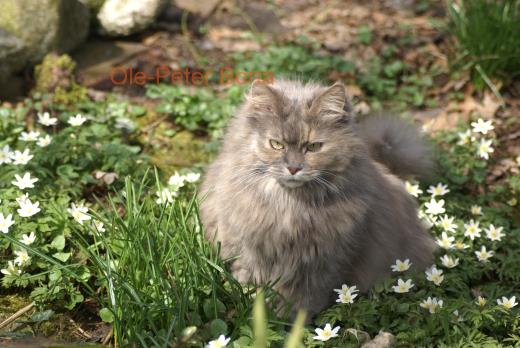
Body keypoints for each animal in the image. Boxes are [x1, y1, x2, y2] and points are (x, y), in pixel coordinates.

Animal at [201, 79, 436, 318]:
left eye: (313, 147)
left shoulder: (325, 261)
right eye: (276, 144)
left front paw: (290, 320)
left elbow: (304, 297)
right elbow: (249, 282)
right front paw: (259, 311)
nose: (293, 168)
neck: (290, 206)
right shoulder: (247, 250)